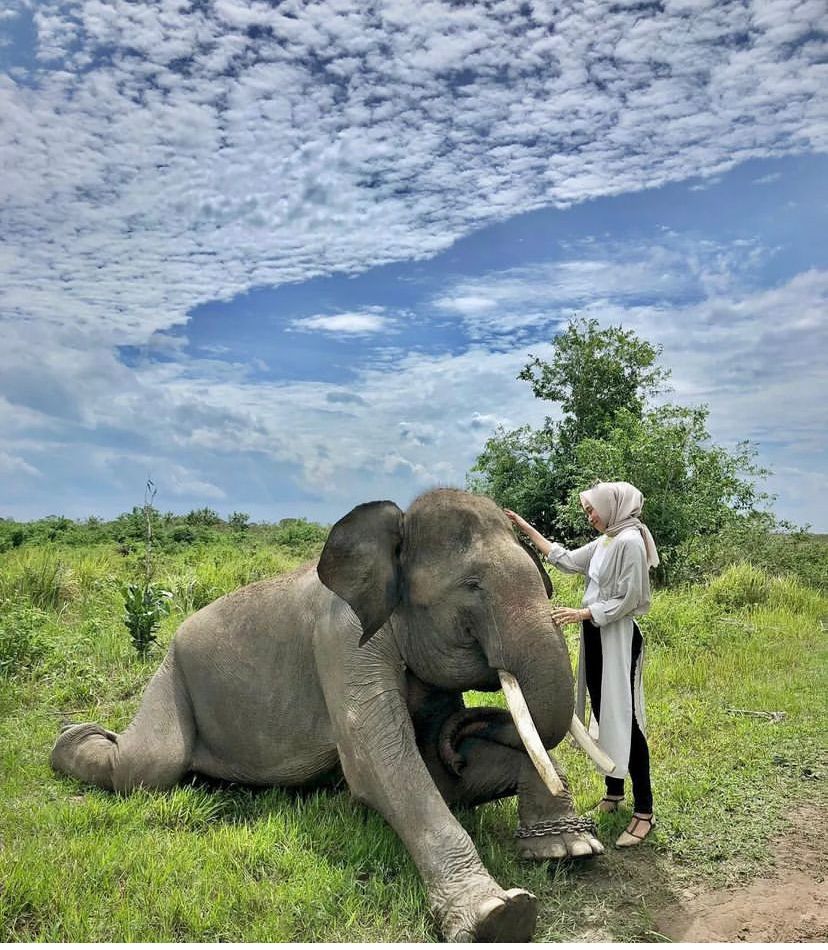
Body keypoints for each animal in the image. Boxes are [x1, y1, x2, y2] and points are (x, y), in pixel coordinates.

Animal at [51, 490, 608, 944]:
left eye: (544, 584)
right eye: (472, 586)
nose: (460, 742)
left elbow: (439, 773)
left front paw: (569, 849)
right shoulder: (342, 640)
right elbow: (381, 766)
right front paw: (499, 917)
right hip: (173, 675)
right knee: (149, 765)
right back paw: (72, 738)